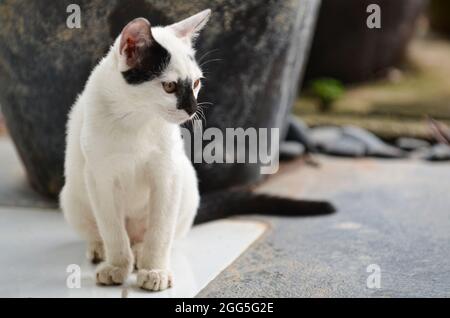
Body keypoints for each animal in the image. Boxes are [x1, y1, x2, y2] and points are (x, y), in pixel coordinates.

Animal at [59, 9, 211, 290]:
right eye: (170, 87)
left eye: (196, 83)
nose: (192, 109)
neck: (136, 117)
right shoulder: (100, 178)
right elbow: (112, 230)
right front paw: (117, 267)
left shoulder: (168, 174)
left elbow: (160, 232)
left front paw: (154, 270)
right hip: (72, 195)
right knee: (105, 232)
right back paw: (101, 250)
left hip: (187, 188)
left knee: (151, 234)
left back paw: (140, 253)